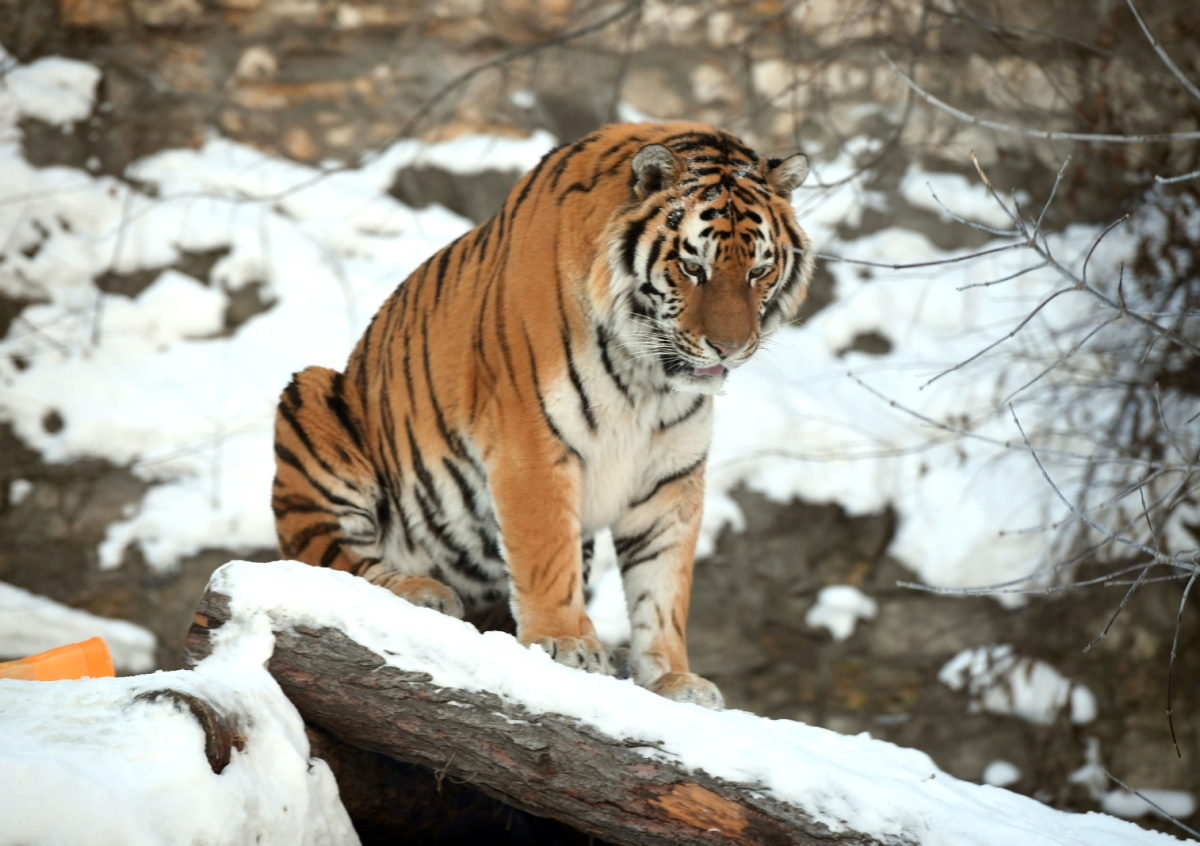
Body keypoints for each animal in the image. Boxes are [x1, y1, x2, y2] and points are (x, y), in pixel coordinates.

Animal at [272, 121, 813, 709]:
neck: (646, 376)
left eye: (759, 270)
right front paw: (567, 641)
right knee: (332, 564)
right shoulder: (531, 440)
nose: (729, 349)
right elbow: (546, 552)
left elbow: (664, 586)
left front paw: (673, 678)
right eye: (694, 267)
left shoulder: (671, 475)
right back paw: (421, 590)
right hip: (312, 396)